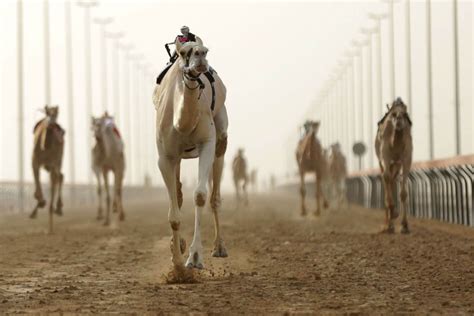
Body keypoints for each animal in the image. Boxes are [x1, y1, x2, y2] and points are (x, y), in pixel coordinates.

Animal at [29, 105, 65, 233]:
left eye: (57, 113)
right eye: (47, 112)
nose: (51, 123)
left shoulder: (53, 162)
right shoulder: (35, 162)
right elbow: (37, 186)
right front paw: (40, 202)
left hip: (58, 160)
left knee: (59, 177)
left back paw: (56, 211)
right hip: (47, 166)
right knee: (59, 177)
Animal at [153, 37, 229, 270]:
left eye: (206, 50)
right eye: (183, 52)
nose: (200, 56)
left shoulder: (207, 143)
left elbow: (200, 195)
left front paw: (194, 257)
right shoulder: (165, 156)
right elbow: (174, 212)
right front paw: (176, 261)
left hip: (221, 138)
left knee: (215, 196)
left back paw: (219, 247)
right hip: (177, 157)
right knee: (177, 194)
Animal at [374, 97, 412, 233]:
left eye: (405, 114)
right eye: (393, 114)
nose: (399, 120)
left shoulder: (406, 159)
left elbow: (403, 193)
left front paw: (405, 225)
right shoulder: (385, 156)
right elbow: (386, 178)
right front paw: (393, 214)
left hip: (396, 164)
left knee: (393, 180)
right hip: (382, 161)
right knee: (386, 179)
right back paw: (388, 224)